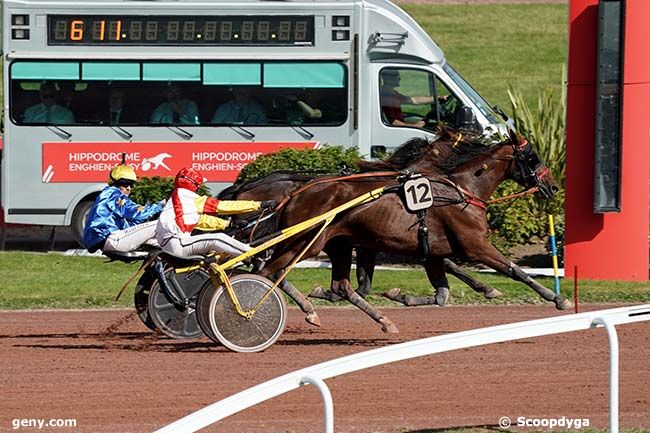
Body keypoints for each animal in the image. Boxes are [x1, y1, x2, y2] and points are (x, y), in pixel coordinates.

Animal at [253, 130, 568, 332]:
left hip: (336, 244)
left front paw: (398, 296)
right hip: (304, 242)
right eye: (532, 156)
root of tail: (292, 196)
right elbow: (515, 270)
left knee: (336, 285)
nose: (553, 186)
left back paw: (381, 320)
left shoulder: (432, 253)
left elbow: (441, 295)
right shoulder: (474, 244)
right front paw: (556, 298)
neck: (460, 191)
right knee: (268, 273)